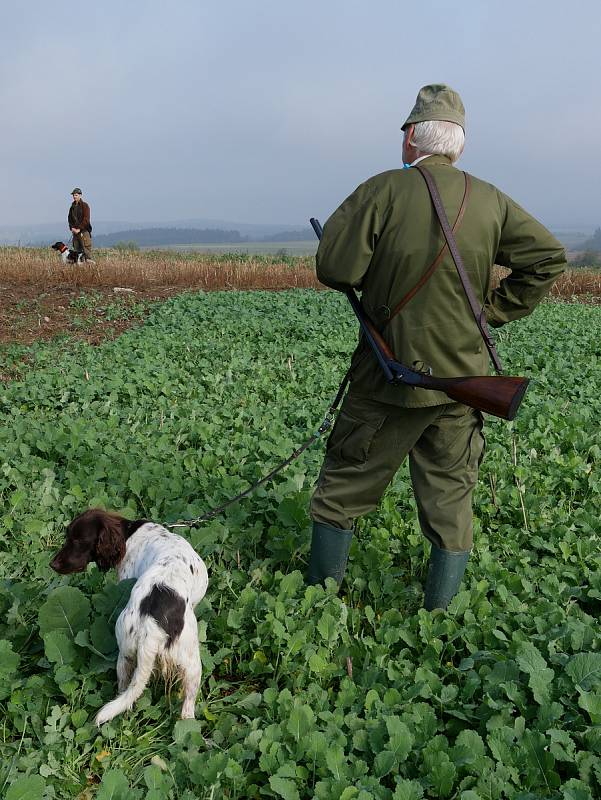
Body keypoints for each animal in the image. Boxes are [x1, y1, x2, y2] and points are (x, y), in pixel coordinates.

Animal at [50, 512, 209, 724]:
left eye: (78, 540)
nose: (52, 564)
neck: (128, 534)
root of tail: (151, 627)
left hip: (126, 655)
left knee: (125, 696)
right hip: (191, 664)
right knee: (186, 712)